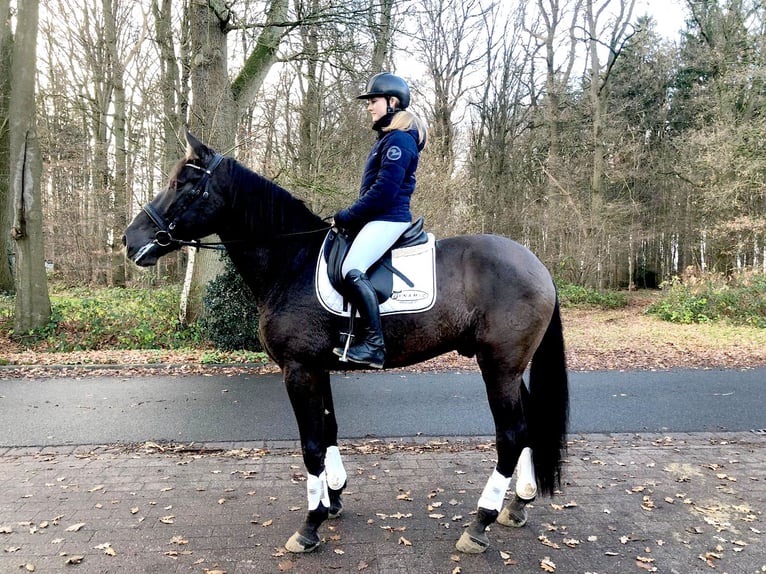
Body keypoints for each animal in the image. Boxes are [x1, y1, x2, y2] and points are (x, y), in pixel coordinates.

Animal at [124, 132, 568, 560]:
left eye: (182, 184)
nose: (130, 241)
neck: (292, 260)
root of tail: (537, 266)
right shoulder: (317, 368)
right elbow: (329, 430)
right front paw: (333, 498)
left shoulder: (298, 370)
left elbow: (311, 444)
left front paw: (310, 525)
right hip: (509, 367)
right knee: (527, 426)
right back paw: (518, 506)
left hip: (499, 367)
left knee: (510, 435)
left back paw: (480, 523)